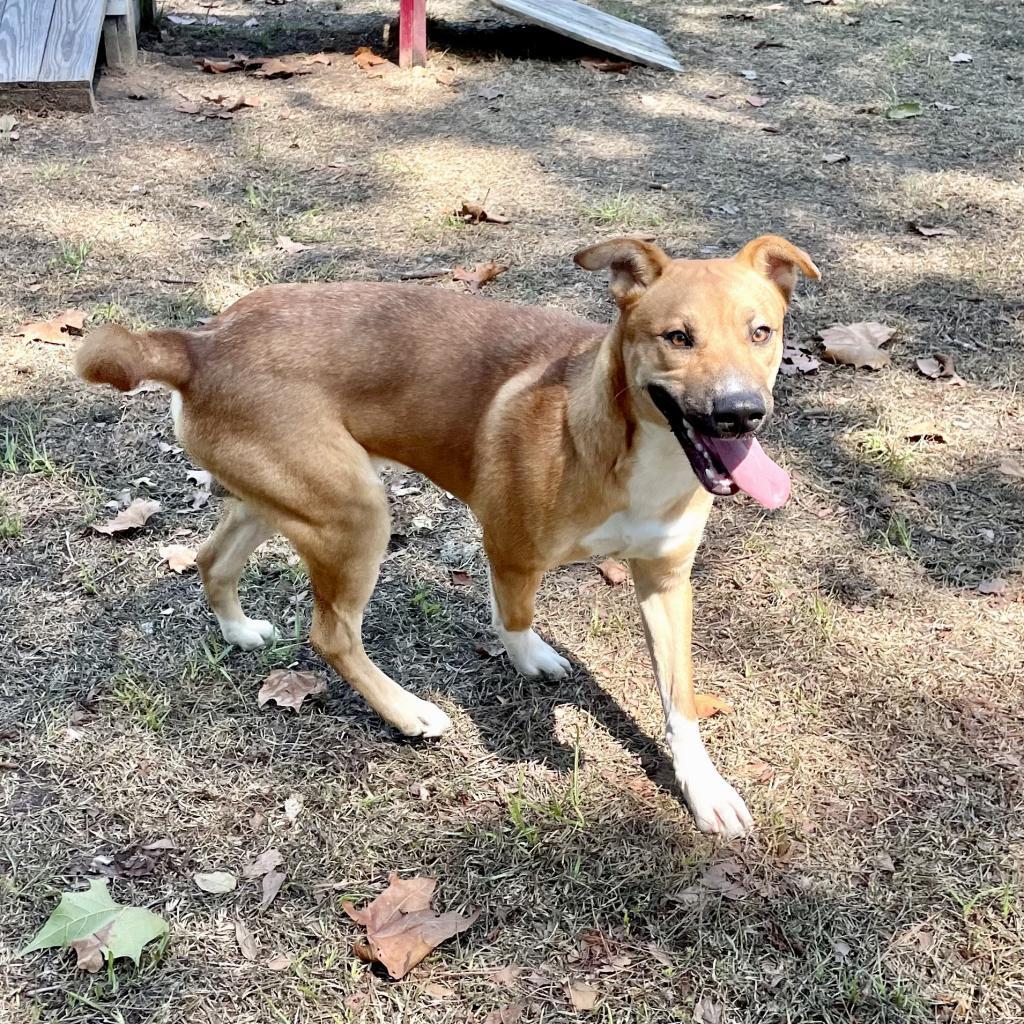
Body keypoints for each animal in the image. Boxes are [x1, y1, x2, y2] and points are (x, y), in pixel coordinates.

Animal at [75, 235, 819, 835]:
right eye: (678, 337)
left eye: (761, 332)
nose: (740, 413)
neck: (632, 444)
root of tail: (197, 344)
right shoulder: (510, 547)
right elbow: (514, 614)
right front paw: (531, 659)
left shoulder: (666, 582)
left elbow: (679, 700)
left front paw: (705, 789)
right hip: (355, 512)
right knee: (332, 634)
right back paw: (408, 713)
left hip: (286, 497)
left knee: (211, 558)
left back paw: (238, 630)